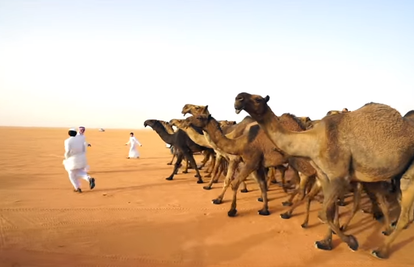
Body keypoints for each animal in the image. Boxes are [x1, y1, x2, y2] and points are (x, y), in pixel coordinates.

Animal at [234, 92, 414, 260]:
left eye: (258, 99)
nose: (238, 98)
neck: (313, 140)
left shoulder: (339, 177)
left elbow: (322, 214)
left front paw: (352, 242)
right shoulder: (325, 177)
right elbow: (328, 213)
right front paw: (326, 243)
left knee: (402, 214)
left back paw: (381, 250)